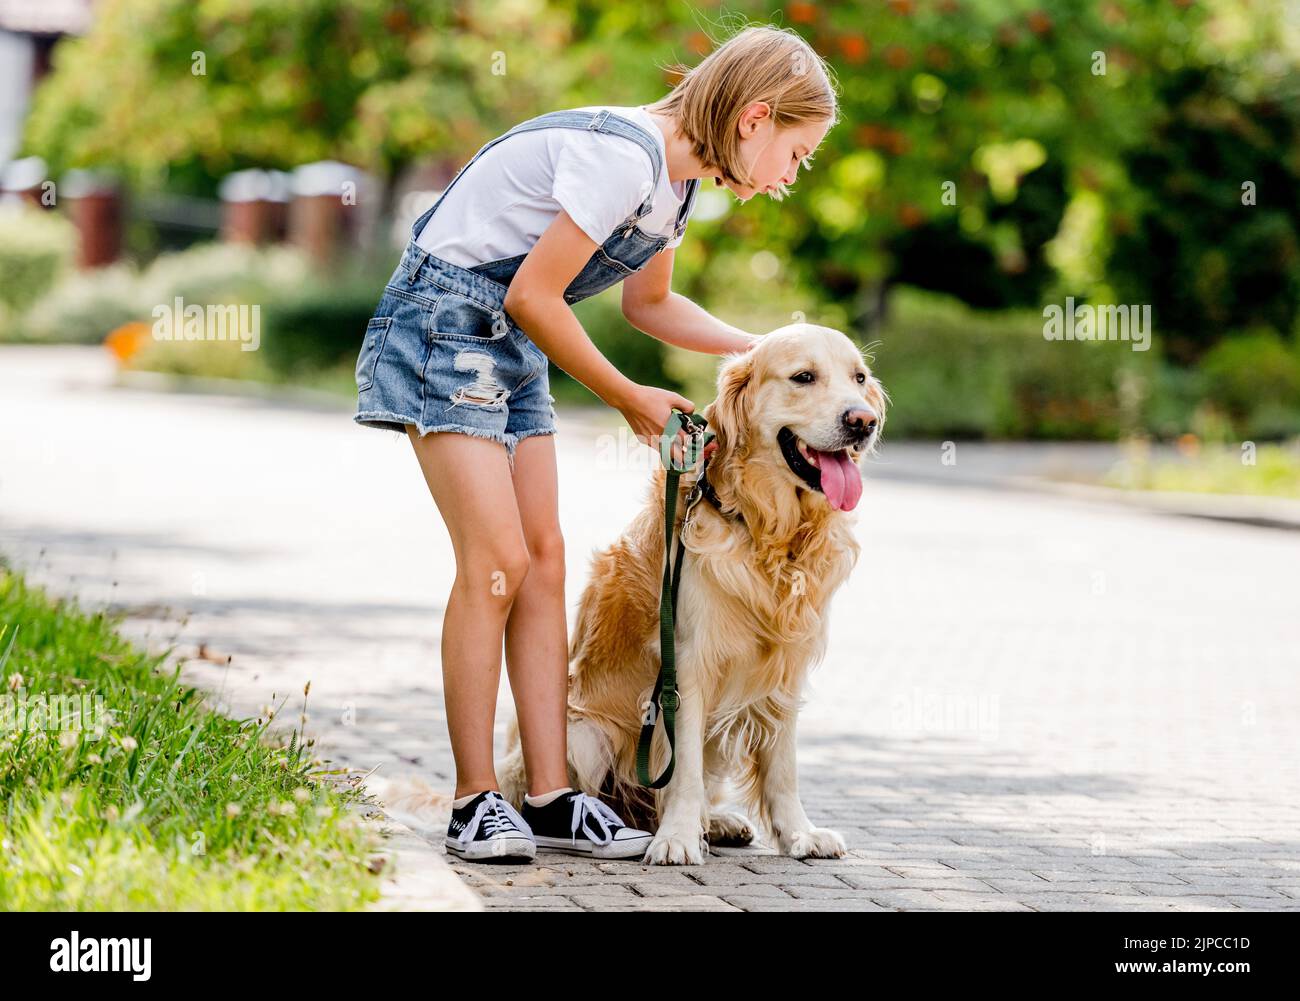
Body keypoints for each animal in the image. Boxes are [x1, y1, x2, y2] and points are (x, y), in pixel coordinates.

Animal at [493, 319, 883, 857]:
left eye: (859, 378)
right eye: (803, 377)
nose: (864, 421)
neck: (765, 528)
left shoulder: (786, 665)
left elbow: (783, 768)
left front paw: (799, 833)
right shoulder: (687, 665)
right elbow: (684, 775)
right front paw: (677, 838)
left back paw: (717, 822)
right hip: (583, 733)